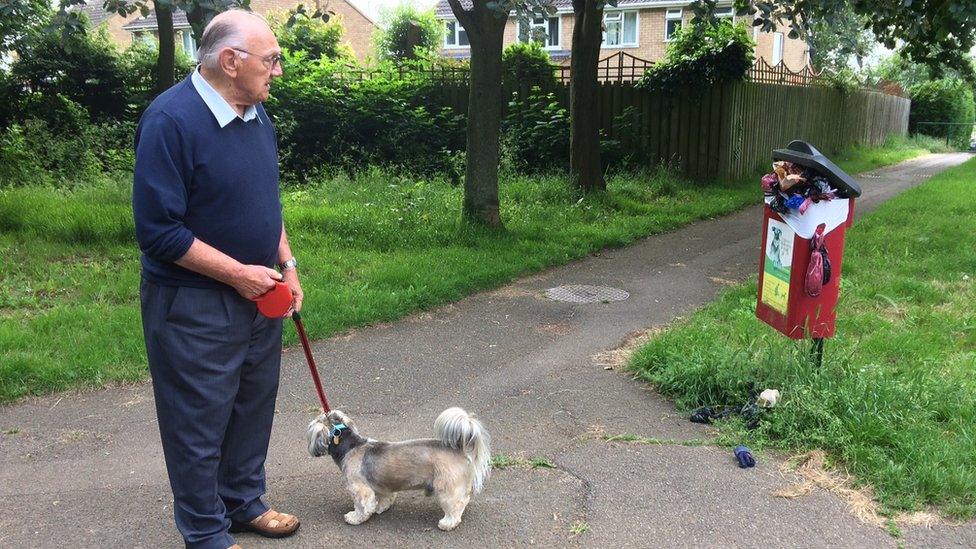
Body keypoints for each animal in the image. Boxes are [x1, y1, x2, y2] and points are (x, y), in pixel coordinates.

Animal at [308, 408, 492, 528]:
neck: (350, 445)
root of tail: (458, 449)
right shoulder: (381, 486)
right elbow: (384, 498)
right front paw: (380, 507)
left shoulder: (359, 489)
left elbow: (362, 506)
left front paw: (355, 517)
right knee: (464, 499)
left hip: (446, 488)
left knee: (455, 506)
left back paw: (447, 523)